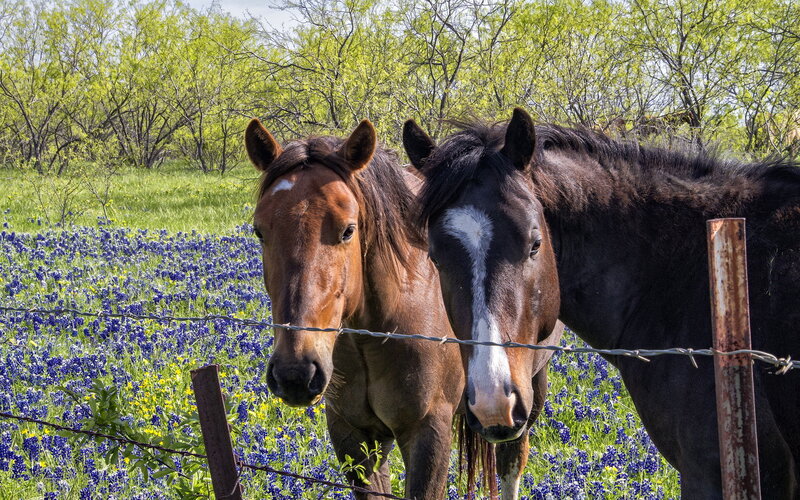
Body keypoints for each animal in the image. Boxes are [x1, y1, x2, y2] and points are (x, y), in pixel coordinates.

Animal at [245, 118, 554, 499]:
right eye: (259, 231)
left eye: (348, 230)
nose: (295, 373)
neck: (373, 331)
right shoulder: (351, 431)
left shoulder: (428, 430)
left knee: (512, 458)